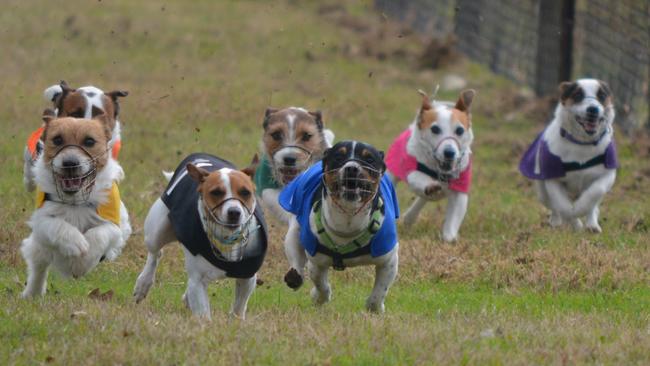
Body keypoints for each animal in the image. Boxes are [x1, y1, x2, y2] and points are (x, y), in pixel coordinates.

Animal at [21, 114, 128, 298]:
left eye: (89, 141)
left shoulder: (115, 225)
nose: (70, 163)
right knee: (38, 268)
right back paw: (32, 294)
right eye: (57, 139)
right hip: (39, 249)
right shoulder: (40, 221)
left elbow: (100, 233)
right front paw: (77, 244)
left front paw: (84, 259)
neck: (74, 201)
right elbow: (55, 224)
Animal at [133, 153, 268, 318]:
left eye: (245, 192)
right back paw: (143, 284)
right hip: (156, 232)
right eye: (216, 192)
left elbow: (238, 308)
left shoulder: (247, 278)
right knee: (155, 254)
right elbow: (203, 314)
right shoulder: (197, 281)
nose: (234, 212)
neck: (226, 239)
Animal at [278, 142, 398, 314]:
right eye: (338, 157)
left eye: (369, 159)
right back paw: (295, 276)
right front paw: (318, 297)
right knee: (295, 255)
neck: (348, 220)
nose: (352, 168)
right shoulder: (317, 261)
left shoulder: (388, 259)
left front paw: (375, 308)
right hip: (295, 228)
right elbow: (321, 285)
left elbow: (379, 291)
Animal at [382, 89, 474, 242]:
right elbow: (420, 179)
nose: (449, 152)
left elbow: (454, 219)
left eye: (460, 130)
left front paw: (449, 238)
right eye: (435, 129)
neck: (440, 171)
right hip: (392, 172)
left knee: (423, 199)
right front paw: (430, 185)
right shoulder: (413, 171)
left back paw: (410, 217)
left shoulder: (460, 192)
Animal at [516, 78, 616, 232]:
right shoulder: (553, 177)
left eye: (602, 95)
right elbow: (563, 206)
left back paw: (592, 225)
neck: (581, 144)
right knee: (554, 206)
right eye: (578, 95)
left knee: (593, 205)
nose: (592, 109)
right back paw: (558, 222)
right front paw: (575, 219)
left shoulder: (607, 174)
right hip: (542, 191)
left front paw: (583, 210)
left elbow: (595, 192)